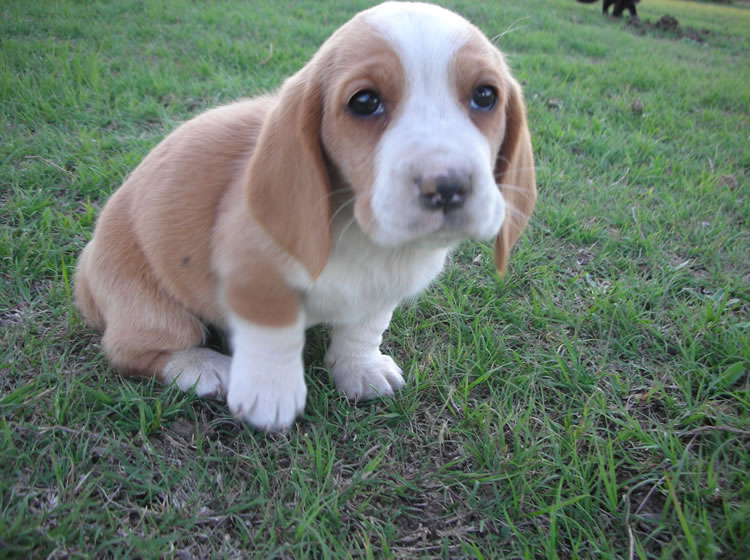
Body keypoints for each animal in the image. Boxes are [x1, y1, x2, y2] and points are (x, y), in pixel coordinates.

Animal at [75, 1, 536, 434]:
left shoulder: (383, 289)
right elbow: (273, 330)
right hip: (156, 314)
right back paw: (205, 368)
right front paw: (269, 396)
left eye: (485, 96)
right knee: (129, 351)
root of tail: (84, 273)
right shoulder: (252, 272)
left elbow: (365, 327)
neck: (362, 234)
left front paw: (360, 368)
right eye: (364, 102)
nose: (447, 187)